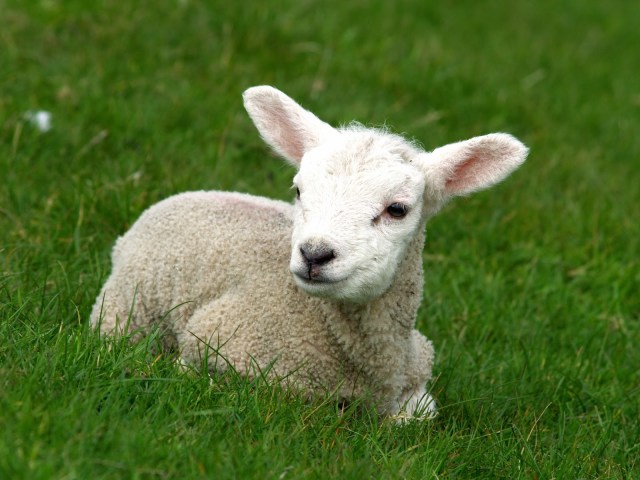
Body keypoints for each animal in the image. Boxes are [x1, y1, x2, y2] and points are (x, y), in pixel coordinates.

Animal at [91, 85, 528, 420]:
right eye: (299, 190)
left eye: (397, 209)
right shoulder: (215, 339)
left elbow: (418, 416)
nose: (315, 254)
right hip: (127, 306)